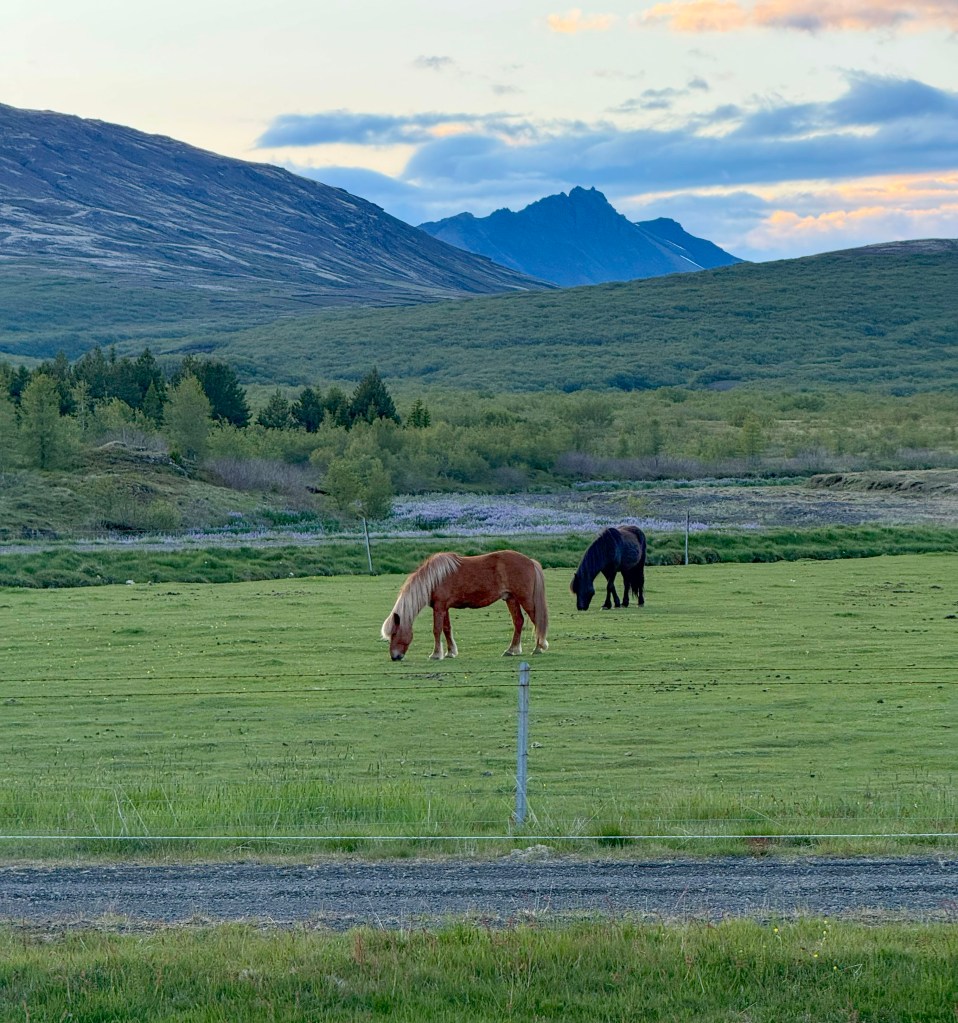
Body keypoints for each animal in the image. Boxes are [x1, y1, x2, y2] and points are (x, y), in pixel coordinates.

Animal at [381, 550, 549, 661]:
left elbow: (436, 630)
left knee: (537, 620)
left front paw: (436, 654)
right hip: (511, 599)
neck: (434, 579)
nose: (394, 657)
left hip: (525, 599)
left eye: (394, 634)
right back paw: (511, 650)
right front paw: (450, 652)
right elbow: (446, 629)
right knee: (518, 621)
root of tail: (530, 561)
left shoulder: (439, 607)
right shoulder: (444, 608)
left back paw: (538, 648)